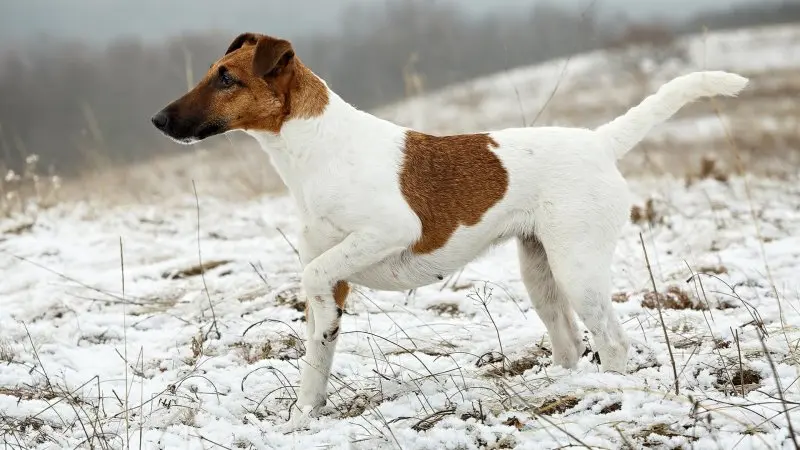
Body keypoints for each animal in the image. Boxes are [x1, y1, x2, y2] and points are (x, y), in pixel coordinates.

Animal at [152, 31, 752, 426]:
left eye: (227, 78)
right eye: (213, 72)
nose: (157, 120)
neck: (315, 147)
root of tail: (599, 141)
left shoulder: (387, 232)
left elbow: (316, 276)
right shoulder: (335, 278)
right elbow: (315, 360)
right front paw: (303, 420)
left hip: (578, 269)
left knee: (613, 341)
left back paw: (608, 394)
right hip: (541, 273)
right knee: (570, 342)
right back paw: (564, 391)